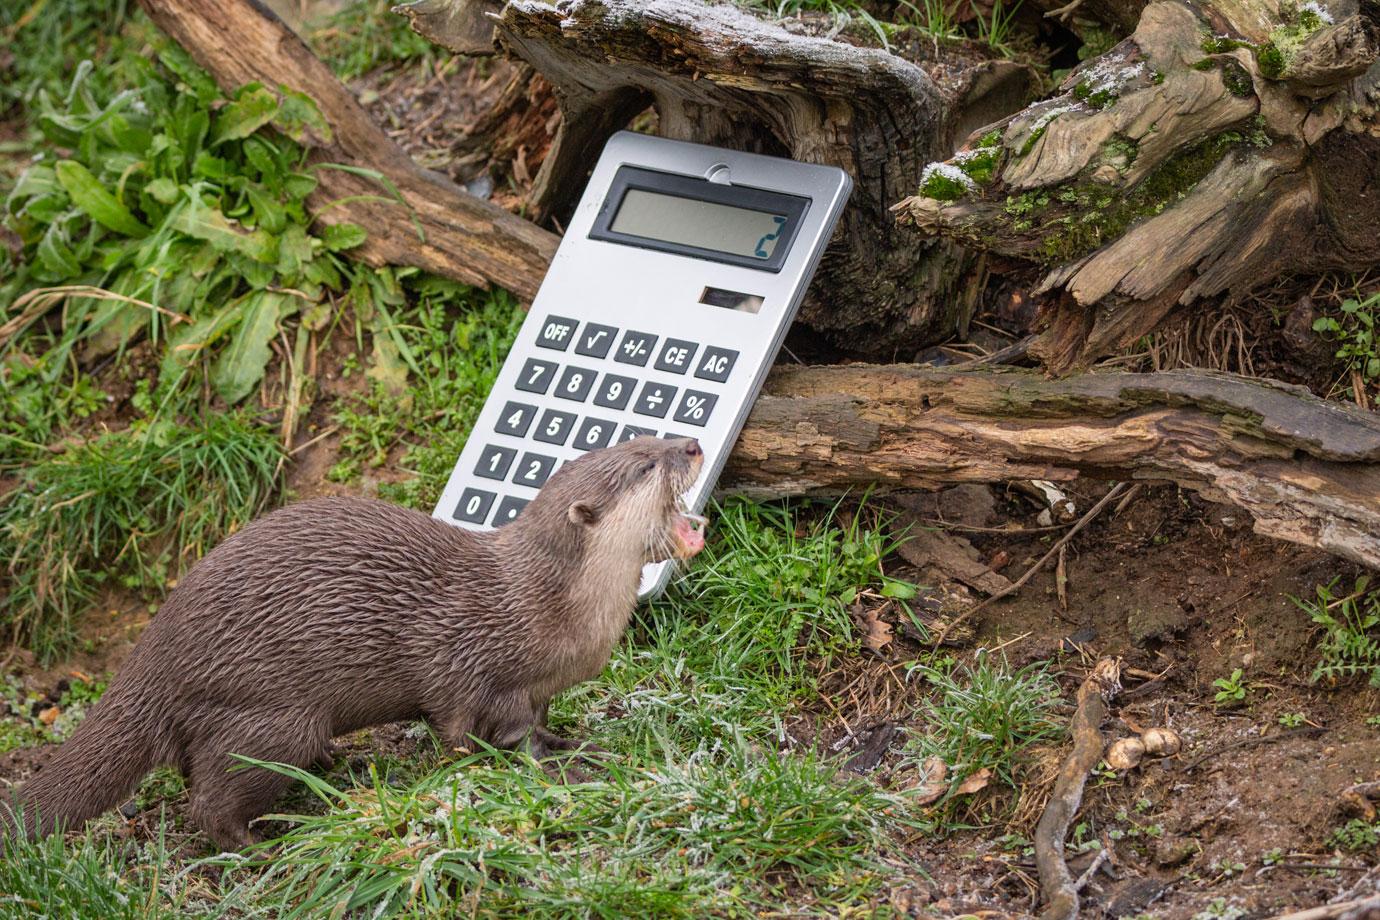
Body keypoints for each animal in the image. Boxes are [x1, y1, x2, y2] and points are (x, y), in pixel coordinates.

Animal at [5, 435, 706, 855]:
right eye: (647, 466)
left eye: (650, 435)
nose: (695, 444)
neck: (548, 605)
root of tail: (155, 649)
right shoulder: (478, 667)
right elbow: (483, 732)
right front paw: (559, 762)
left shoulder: (538, 687)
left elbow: (540, 718)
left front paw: (569, 742)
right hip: (272, 716)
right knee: (208, 801)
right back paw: (267, 842)